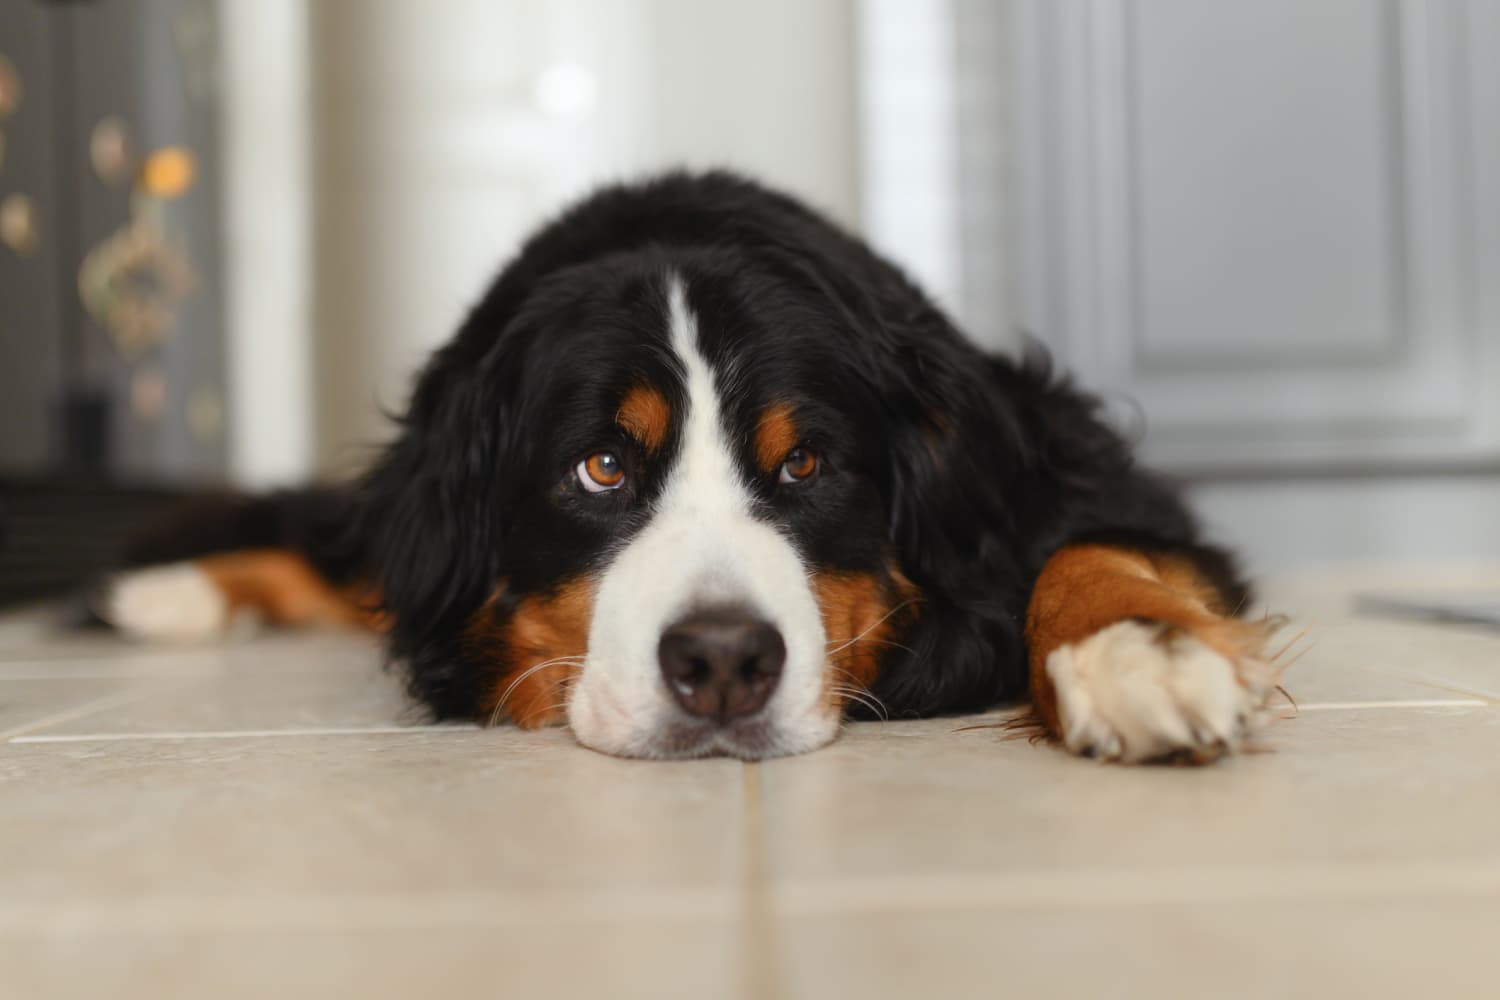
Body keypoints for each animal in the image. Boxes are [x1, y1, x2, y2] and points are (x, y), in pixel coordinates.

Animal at [102, 173, 1290, 767]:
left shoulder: (1062, 465)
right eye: (600, 467)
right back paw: (161, 593)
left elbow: (1092, 550)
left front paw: (1138, 655)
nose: (722, 661)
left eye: (805, 462)